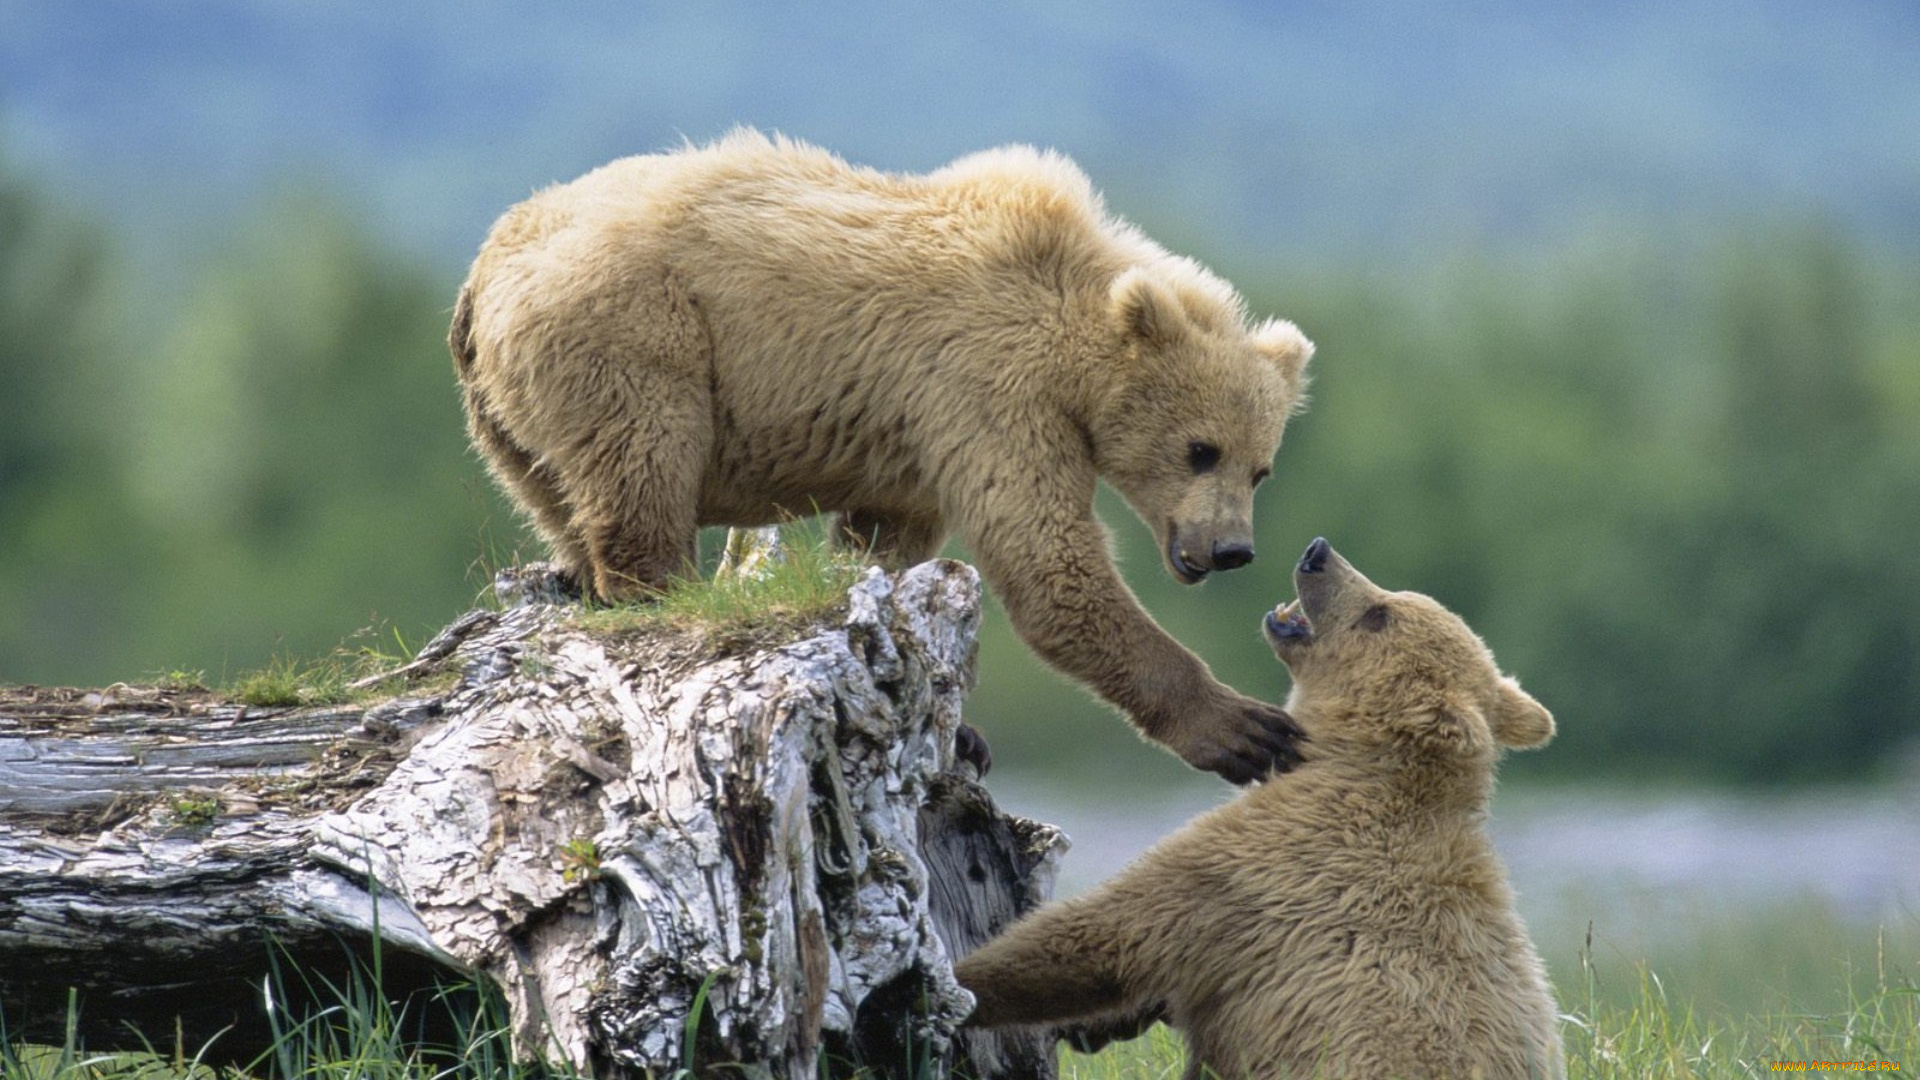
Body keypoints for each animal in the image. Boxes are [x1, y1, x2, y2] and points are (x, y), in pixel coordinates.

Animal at [453, 130, 1320, 776]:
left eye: (1261, 467)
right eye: (1201, 449)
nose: (1232, 549)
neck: (1074, 329)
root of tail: (482, 269)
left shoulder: (917, 437)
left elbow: (887, 542)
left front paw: (956, 723)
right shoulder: (988, 389)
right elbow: (1049, 564)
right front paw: (1246, 728)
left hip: (508, 420)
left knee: (560, 497)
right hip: (631, 331)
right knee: (644, 465)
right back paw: (661, 589)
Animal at [952, 538, 1566, 1076]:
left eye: (1380, 614)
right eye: (1392, 599)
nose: (1318, 553)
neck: (1350, 760)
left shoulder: (1264, 869)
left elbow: (1105, 935)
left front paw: (961, 981)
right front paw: (1100, 1024)